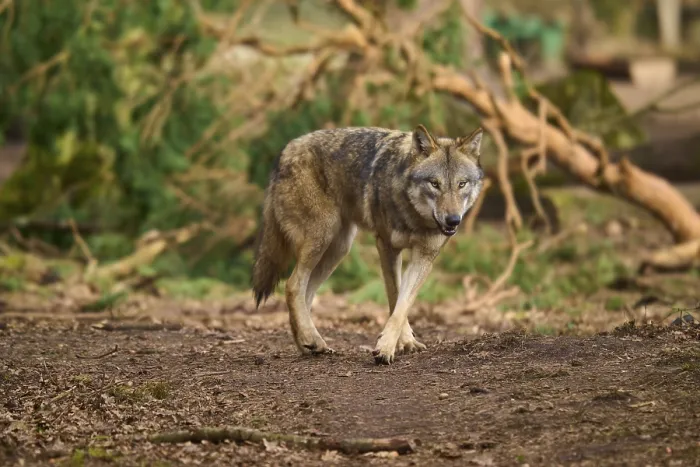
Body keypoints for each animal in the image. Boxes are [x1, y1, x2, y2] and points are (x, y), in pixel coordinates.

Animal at [251, 124, 484, 364]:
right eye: (435, 184)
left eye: (462, 184)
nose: (453, 220)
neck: (414, 217)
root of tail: (287, 149)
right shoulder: (387, 247)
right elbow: (395, 297)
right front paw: (388, 347)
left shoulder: (425, 257)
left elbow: (402, 305)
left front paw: (402, 344)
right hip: (322, 237)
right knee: (292, 286)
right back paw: (310, 339)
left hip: (338, 250)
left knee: (305, 294)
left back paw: (310, 344)